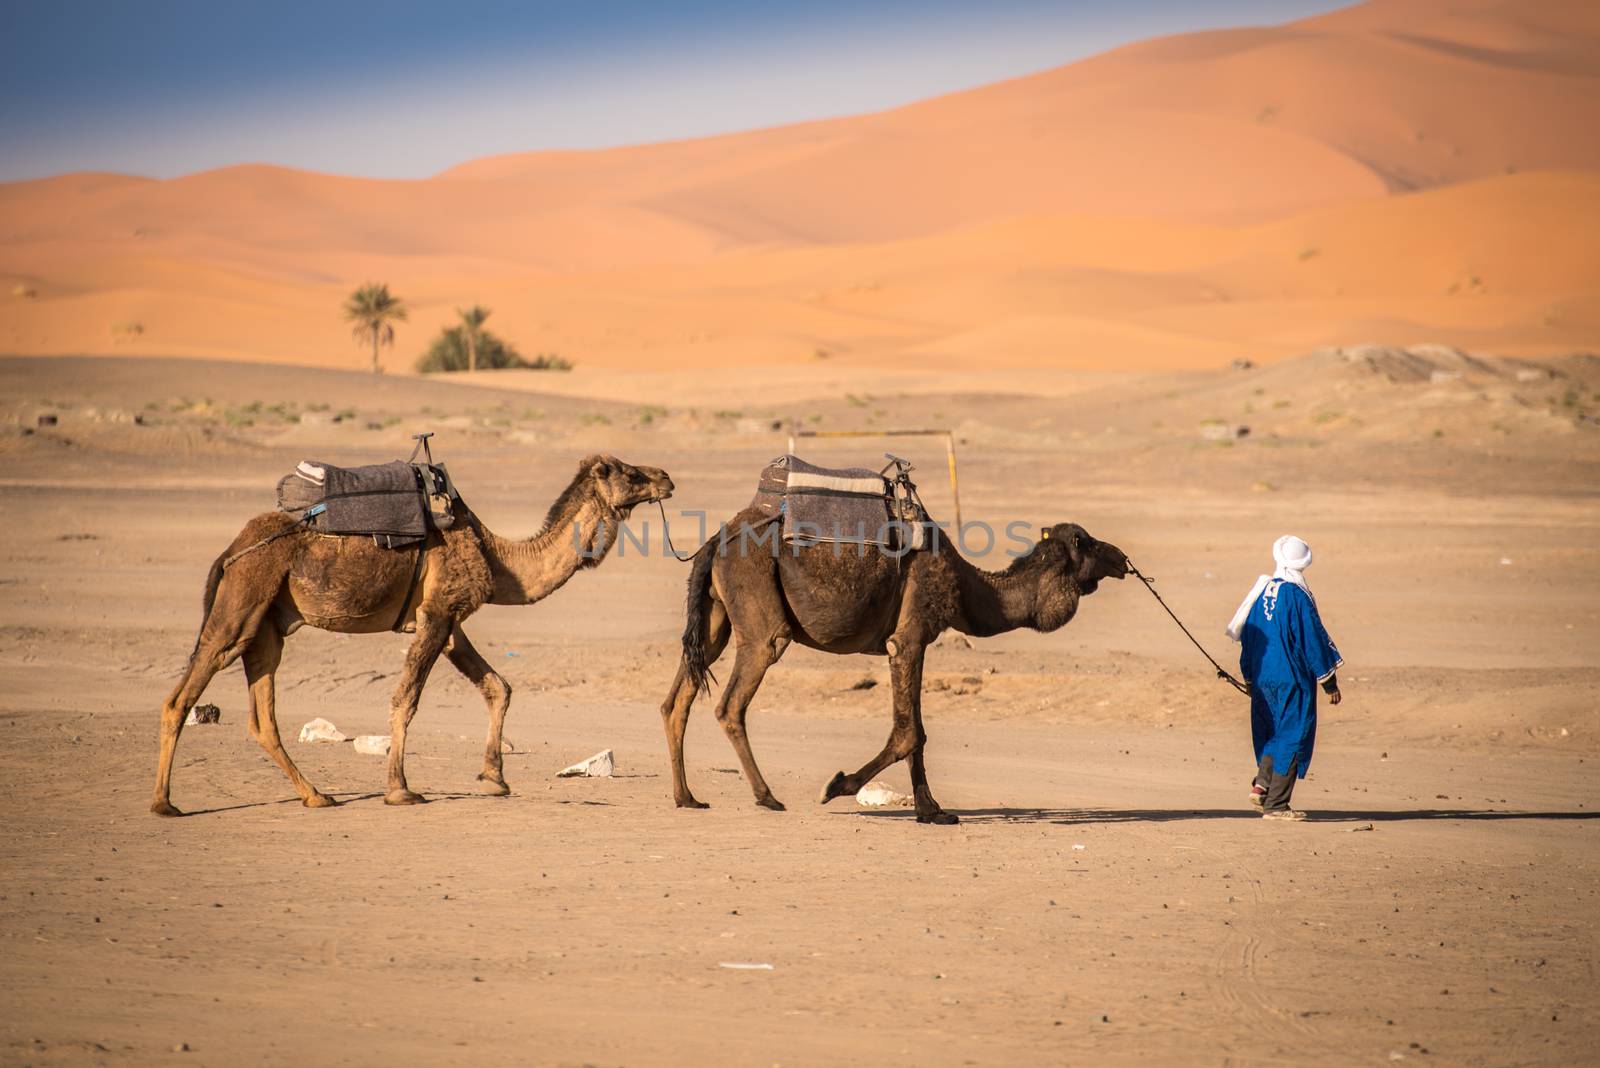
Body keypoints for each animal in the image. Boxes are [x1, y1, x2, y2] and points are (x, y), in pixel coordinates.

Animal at [152, 454, 672, 818]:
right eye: (627, 472)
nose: (665, 477)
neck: (497, 556)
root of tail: (233, 549)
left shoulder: (449, 620)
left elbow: (498, 687)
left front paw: (494, 778)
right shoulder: (438, 613)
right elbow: (406, 698)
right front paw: (400, 790)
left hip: (267, 627)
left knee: (263, 718)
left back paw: (316, 796)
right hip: (242, 602)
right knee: (185, 693)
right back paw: (164, 803)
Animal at [649, 511, 1126, 824]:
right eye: (1085, 543)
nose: (1122, 558)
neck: (970, 587)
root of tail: (717, 541)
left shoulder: (913, 644)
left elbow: (917, 732)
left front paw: (932, 811)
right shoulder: (908, 639)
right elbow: (908, 733)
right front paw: (837, 785)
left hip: (716, 616)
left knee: (678, 698)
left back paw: (686, 797)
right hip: (759, 612)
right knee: (734, 699)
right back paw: (767, 797)